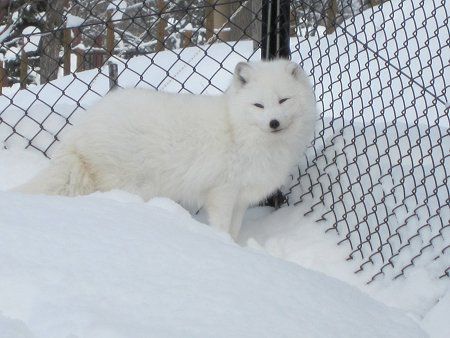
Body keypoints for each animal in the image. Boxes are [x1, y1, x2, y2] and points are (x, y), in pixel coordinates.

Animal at [14, 58, 316, 238]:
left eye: (283, 100)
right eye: (259, 105)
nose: (274, 122)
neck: (238, 129)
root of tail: (82, 127)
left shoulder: (241, 197)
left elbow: (235, 229)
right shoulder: (221, 192)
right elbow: (221, 228)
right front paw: (225, 246)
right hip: (129, 183)